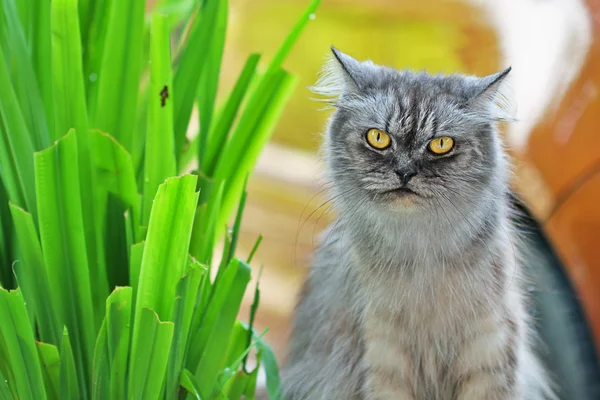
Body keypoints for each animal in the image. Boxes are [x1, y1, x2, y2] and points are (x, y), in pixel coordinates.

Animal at [278, 49, 556, 400]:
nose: (405, 172)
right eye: (378, 138)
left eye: (441, 145)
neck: (422, 254)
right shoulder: (383, 352)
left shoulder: (490, 347)